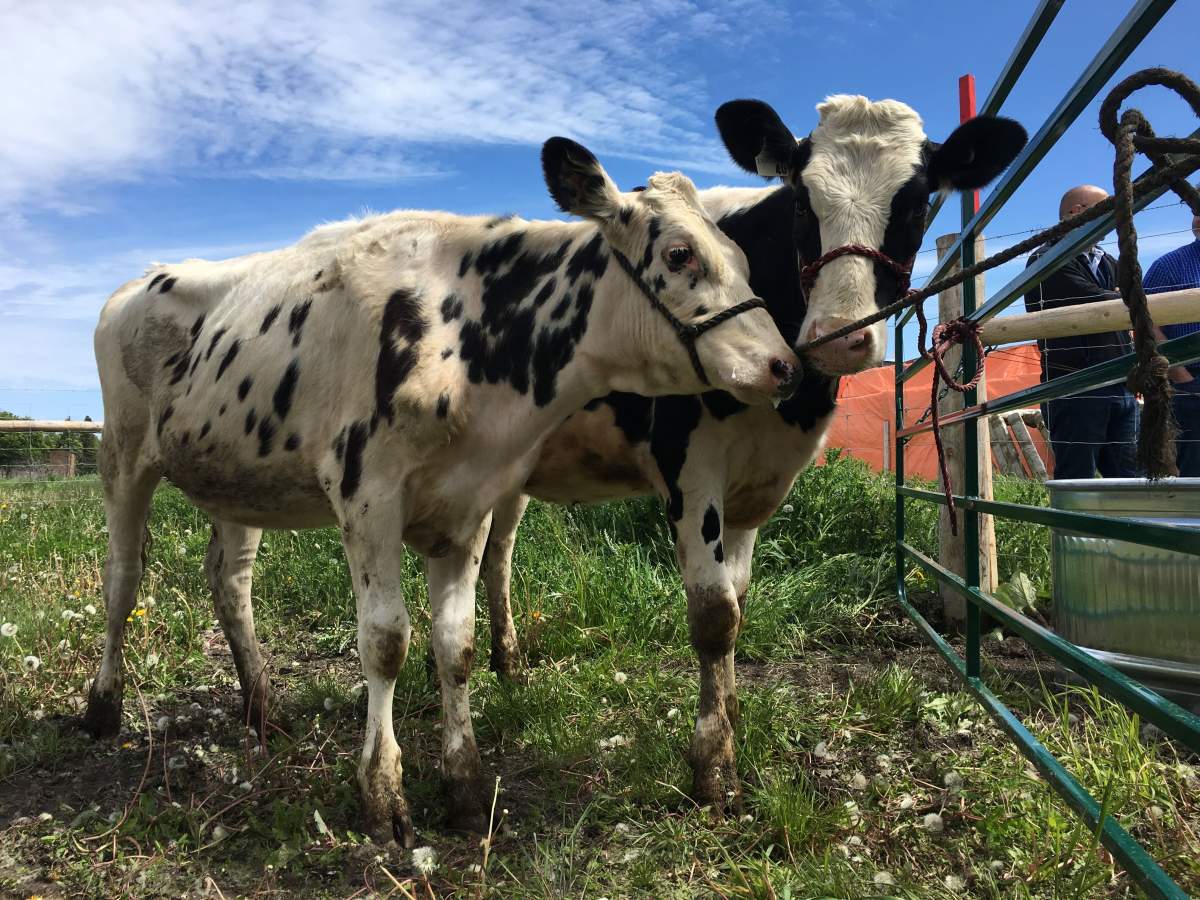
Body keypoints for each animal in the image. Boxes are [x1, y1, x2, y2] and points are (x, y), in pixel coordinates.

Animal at [83, 137, 803, 845]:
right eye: (680, 254)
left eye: (744, 257)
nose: (785, 366)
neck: (467, 335)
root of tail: (137, 282)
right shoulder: (366, 494)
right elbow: (385, 642)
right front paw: (382, 795)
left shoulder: (468, 503)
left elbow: (454, 645)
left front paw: (464, 787)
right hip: (122, 454)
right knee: (122, 580)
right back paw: (103, 707)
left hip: (237, 479)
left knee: (230, 581)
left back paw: (262, 709)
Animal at [480, 97, 1027, 811]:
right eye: (799, 200)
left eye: (916, 205)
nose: (838, 337)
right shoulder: (688, 465)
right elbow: (716, 614)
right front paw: (713, 765)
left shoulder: (757, 483)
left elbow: (738, 600)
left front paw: (733, 717)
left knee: (497, 557)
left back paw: (509, 665)